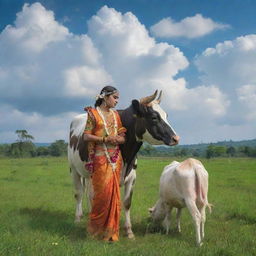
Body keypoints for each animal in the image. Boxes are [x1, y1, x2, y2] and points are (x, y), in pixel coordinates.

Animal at [68, 90, 180, 238]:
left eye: (166, 115)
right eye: (154, 117)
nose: (176, 138)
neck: (127, 154)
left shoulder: (132, 177)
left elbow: (126, 203)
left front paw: (129, 231)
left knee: (89, 194)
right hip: (74, 169)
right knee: (79, 193)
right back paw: (78, 218)